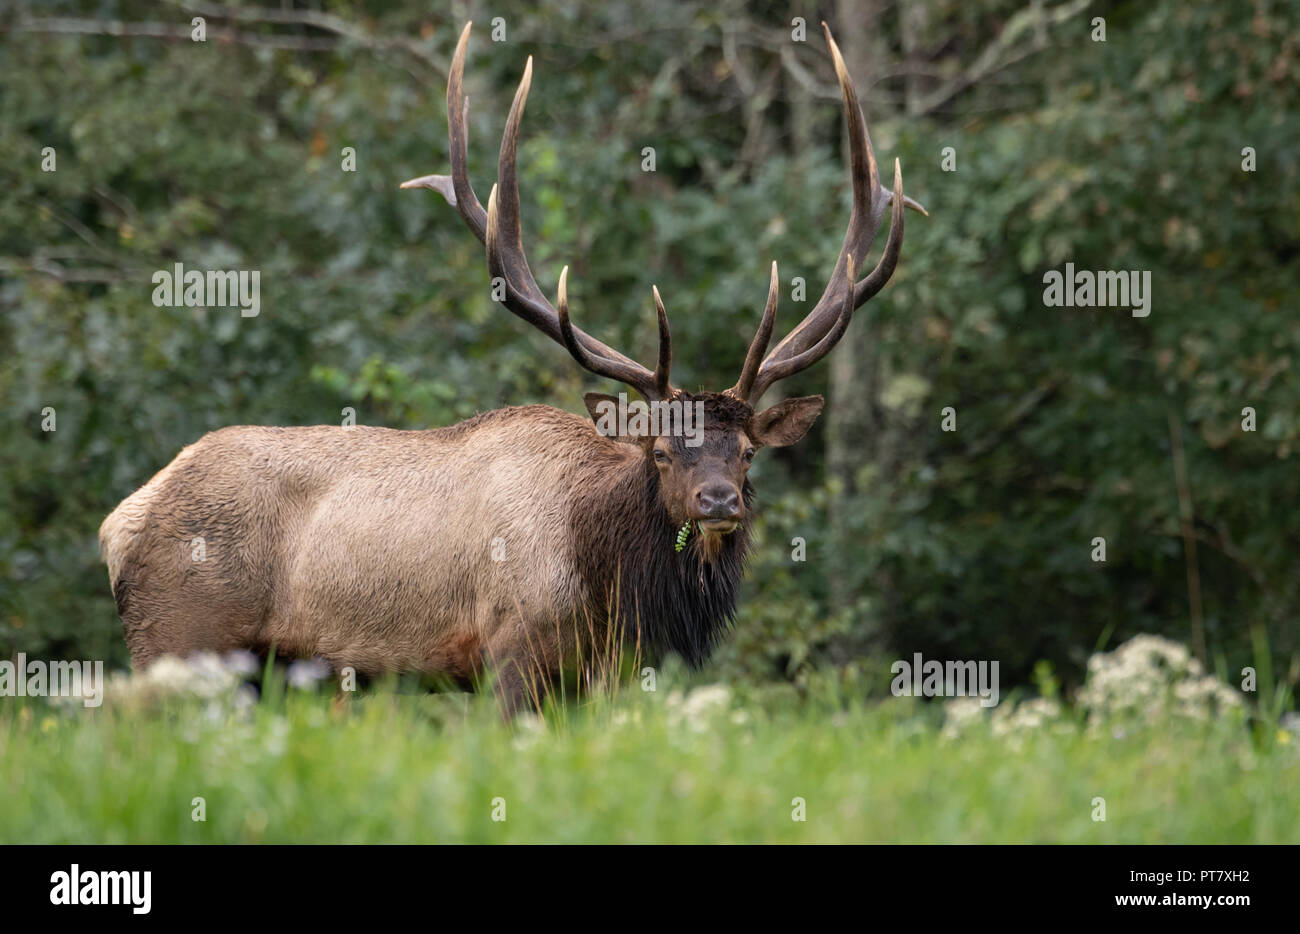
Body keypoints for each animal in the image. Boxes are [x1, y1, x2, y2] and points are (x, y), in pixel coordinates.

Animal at [99, 21, 924, 715]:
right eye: (661, 450)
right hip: (179, 638)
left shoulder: (593, 676)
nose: (718, 500)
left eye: (749, 451)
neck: (602, 578)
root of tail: (122, 521)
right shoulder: (509, 649)